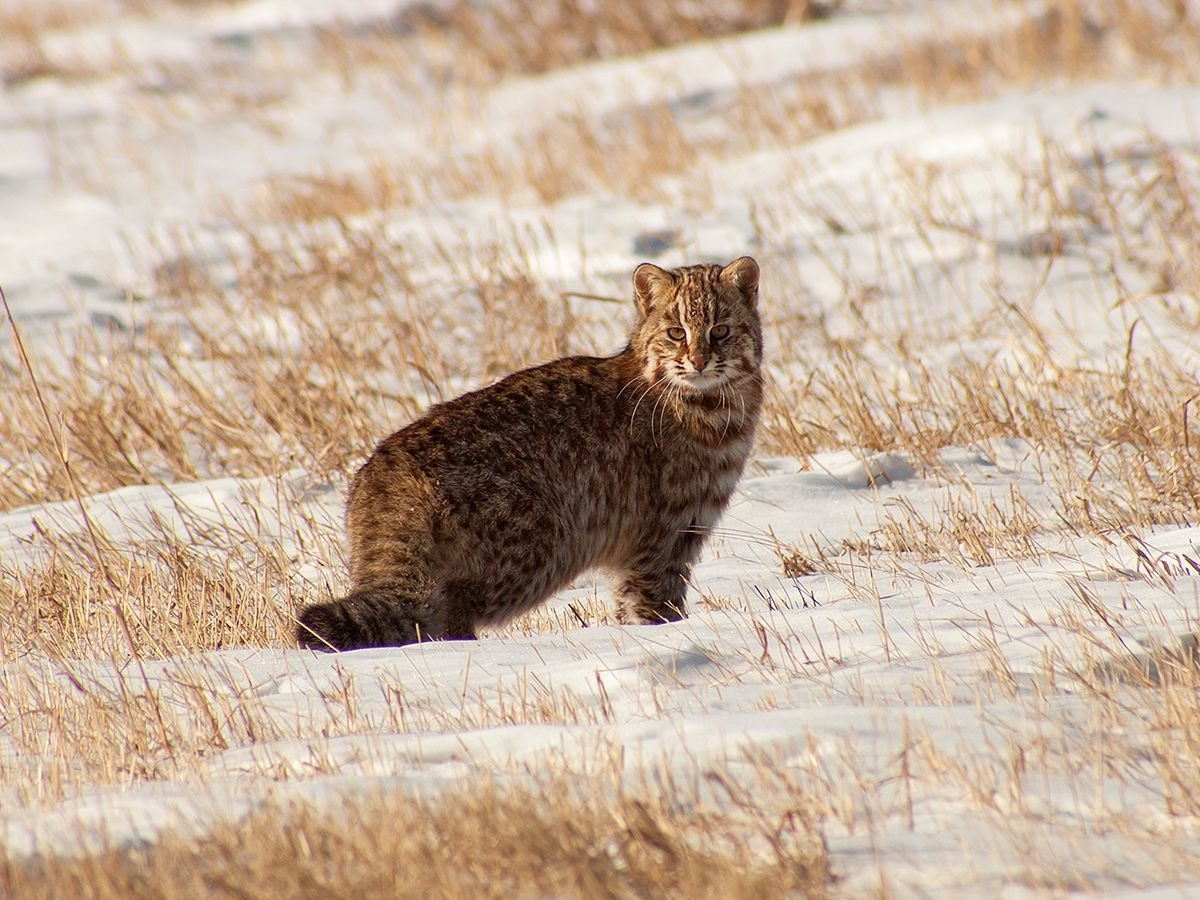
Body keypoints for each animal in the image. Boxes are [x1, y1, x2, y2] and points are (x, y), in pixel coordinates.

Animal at [300, 256, 768, 652]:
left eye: (720, 331)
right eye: (676, 332)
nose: (699, 360)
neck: (707, 404)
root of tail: (387, 470)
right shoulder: (663, 539)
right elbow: (653, 606)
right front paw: (661, 636)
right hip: (537, 546)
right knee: (441, 611)